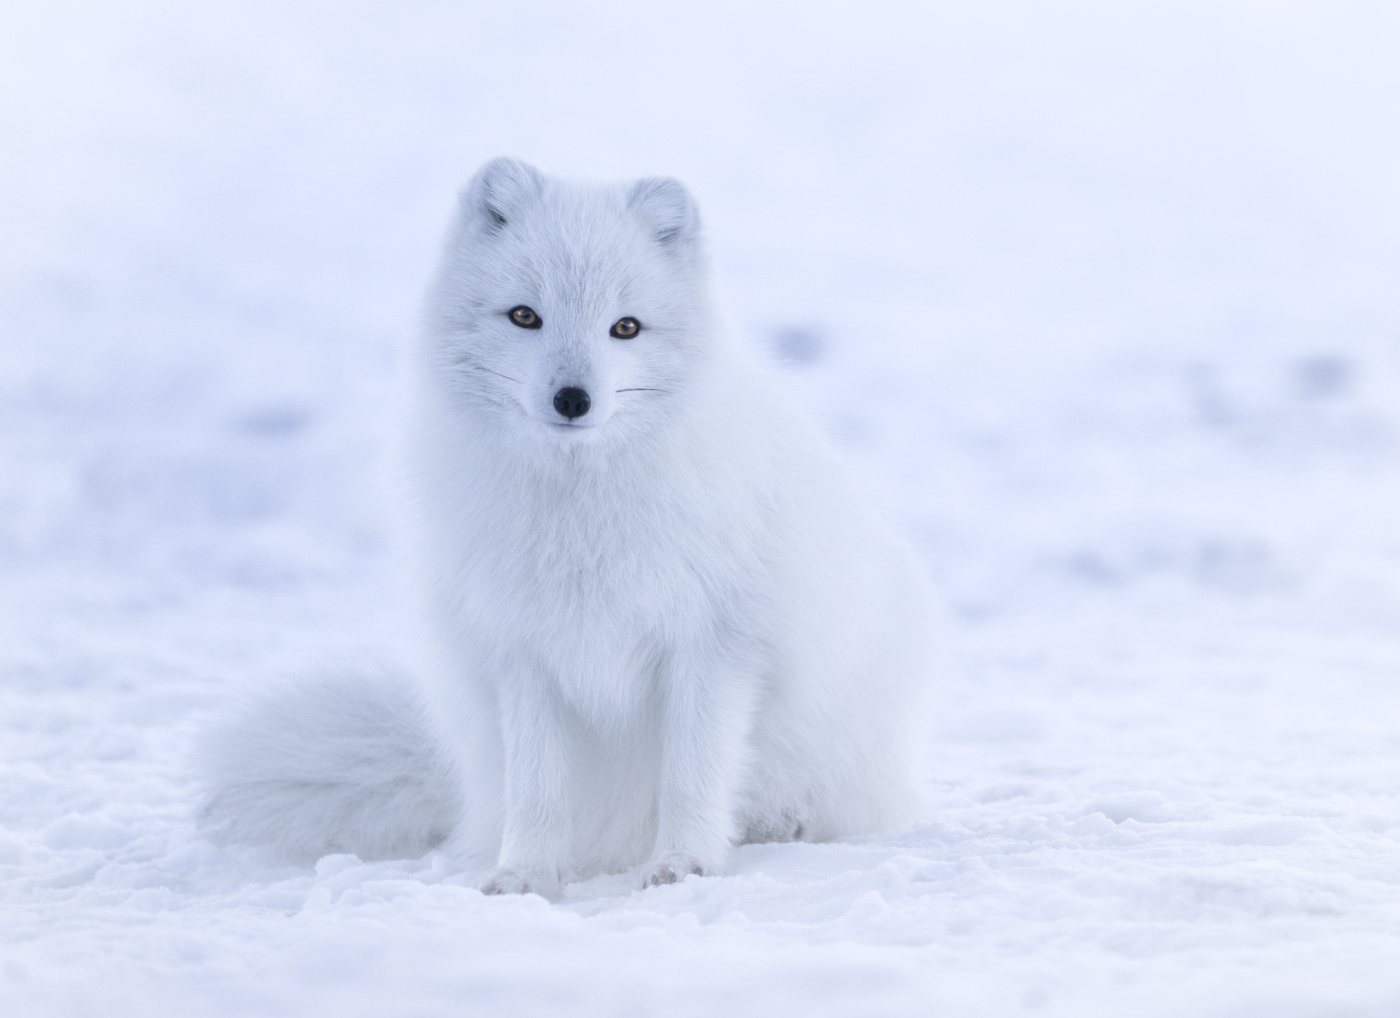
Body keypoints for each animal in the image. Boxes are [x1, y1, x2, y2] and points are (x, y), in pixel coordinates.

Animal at [202, 158, 939, 895]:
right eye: (525, 315)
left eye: (626, 328)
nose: (573, 399)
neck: (580, 512)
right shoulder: (524, 653)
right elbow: (538, 789)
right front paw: (526, 874)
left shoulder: (713, 647)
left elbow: (693, 774)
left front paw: (684, 863)